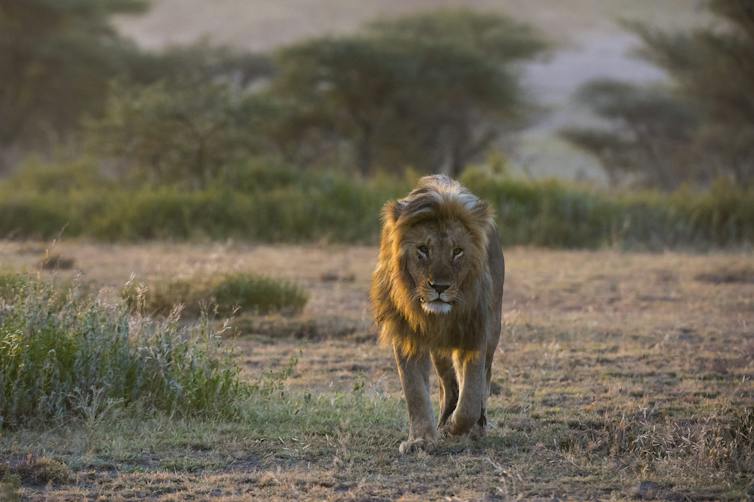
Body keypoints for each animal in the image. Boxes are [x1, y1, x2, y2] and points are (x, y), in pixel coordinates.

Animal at [371, 174, 505, 454]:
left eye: (457, 251)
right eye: (423, 249)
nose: (440, 287)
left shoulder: (475, 330)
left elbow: (471, 397)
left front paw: (458, 427)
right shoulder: (407, 335)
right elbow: (415, 392)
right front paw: (421, 439)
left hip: (493, 330)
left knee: (482, 379)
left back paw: (473, 426)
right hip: (439, 351)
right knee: (448, 383)